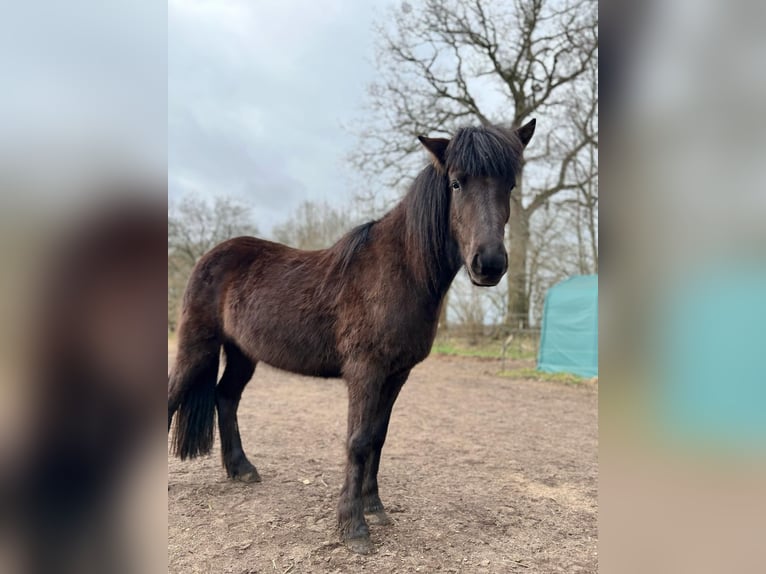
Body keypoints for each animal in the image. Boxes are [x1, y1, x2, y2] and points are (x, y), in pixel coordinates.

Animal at [168, 119, 536, 554]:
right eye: (457, 183)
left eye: (510, 185)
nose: (489, 264)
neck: (401, 271)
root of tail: (209, 257)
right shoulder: (366, 371)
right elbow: (358, 440)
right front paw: (353, 526)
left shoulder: (396, 375)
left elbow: (378, 436)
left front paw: (374, 507)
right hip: (196, 347)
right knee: (176, 397)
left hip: (243, 353)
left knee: (225, 397)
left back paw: (242, 469)